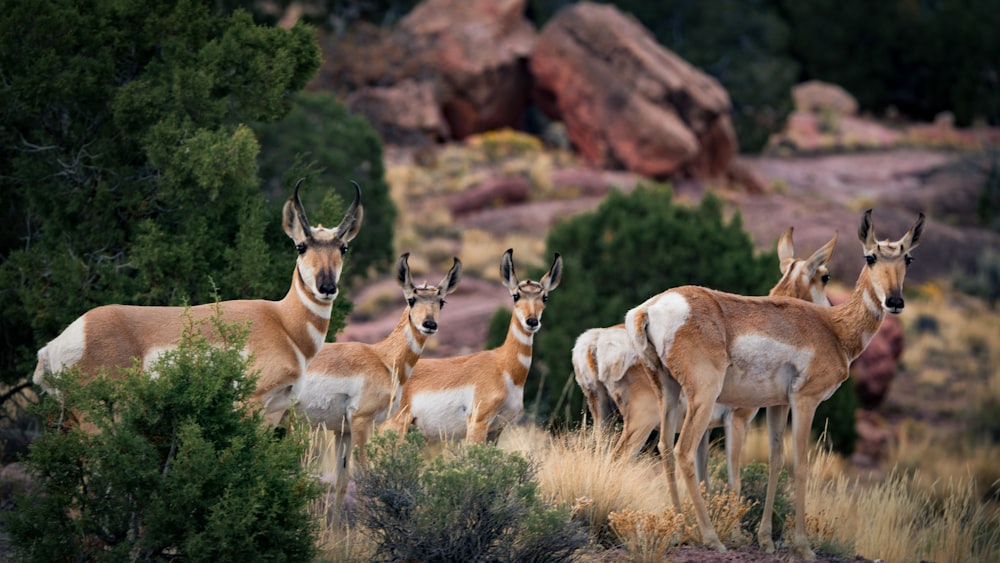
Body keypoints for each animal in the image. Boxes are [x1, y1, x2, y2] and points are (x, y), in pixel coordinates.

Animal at [33, 178, 366, 420]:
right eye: (300, 246)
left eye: (344, 248)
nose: (326, 287)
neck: (283, 324)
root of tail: (61, 340)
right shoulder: (249, 403)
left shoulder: (275, 409)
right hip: (96, 412)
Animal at [290, 253, 460, 504]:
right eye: (411, 299)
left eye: (441, 301)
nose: (429, 324)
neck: (383, 358)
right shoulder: (361, 422)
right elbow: (363, 479)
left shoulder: (342, 431)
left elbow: (341, 482)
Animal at [382, 250, 564, 446]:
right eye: (516, 296)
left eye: (545, 297)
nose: (532, 321)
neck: (503, 367)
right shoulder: (478, 422)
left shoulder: (496, 430)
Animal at [572, 228, 836, 490]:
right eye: (825, 277)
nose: (829, 312)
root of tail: (594, 340)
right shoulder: (737, 421)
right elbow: (734, 483)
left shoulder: (706, 430)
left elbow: (703, 480)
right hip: (642, 421)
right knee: (618, 457)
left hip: (604, 419)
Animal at [628, 208, 924, 560]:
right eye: (870, 256)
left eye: (907, 258)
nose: (895, 301)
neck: (833, 329)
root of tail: (651, 308)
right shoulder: (803, 402)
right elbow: (800, 465)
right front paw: (803, 546)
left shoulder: (778, 405)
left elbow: (775, 460)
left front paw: (766, 539)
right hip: (702, 397)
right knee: (683, 451)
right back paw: (711, 538)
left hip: (668, 393)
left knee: (665, 449)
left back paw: (680, 530)